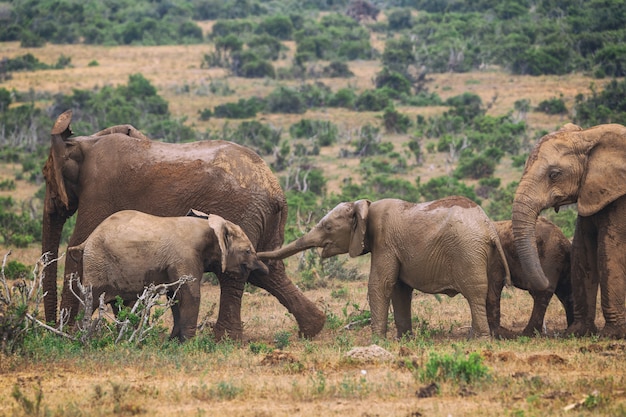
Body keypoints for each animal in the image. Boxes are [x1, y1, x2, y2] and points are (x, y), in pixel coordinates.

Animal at [69, 210, 268, 340]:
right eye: (248, 251)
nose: (264, 270)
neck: (209, 227)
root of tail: (87, 240)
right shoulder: (185, 256)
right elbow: (191, 295)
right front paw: (188, 344)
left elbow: (176, 296)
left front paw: (174, 341)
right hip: (97, 264)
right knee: (91, 301)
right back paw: (82, 338)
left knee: (121, 305)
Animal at [258, 196, 508, 338]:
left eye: (328, 227)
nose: (256, 256)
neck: (365, 206)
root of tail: (488, 228)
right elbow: (399, 289)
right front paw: (403, 339)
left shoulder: (384, 242)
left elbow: (381, 284)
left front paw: (377, 340)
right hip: (488, 254)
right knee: (491, 293)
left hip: (468, 250)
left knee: (475, 293)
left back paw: (479, 339)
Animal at [510, 122, 624, 338]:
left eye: (554, 174)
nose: (545, 281)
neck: (589, 135)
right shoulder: (592, 192)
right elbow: (582, 250)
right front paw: (576, 332)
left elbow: (609, 252)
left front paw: (612, 335)